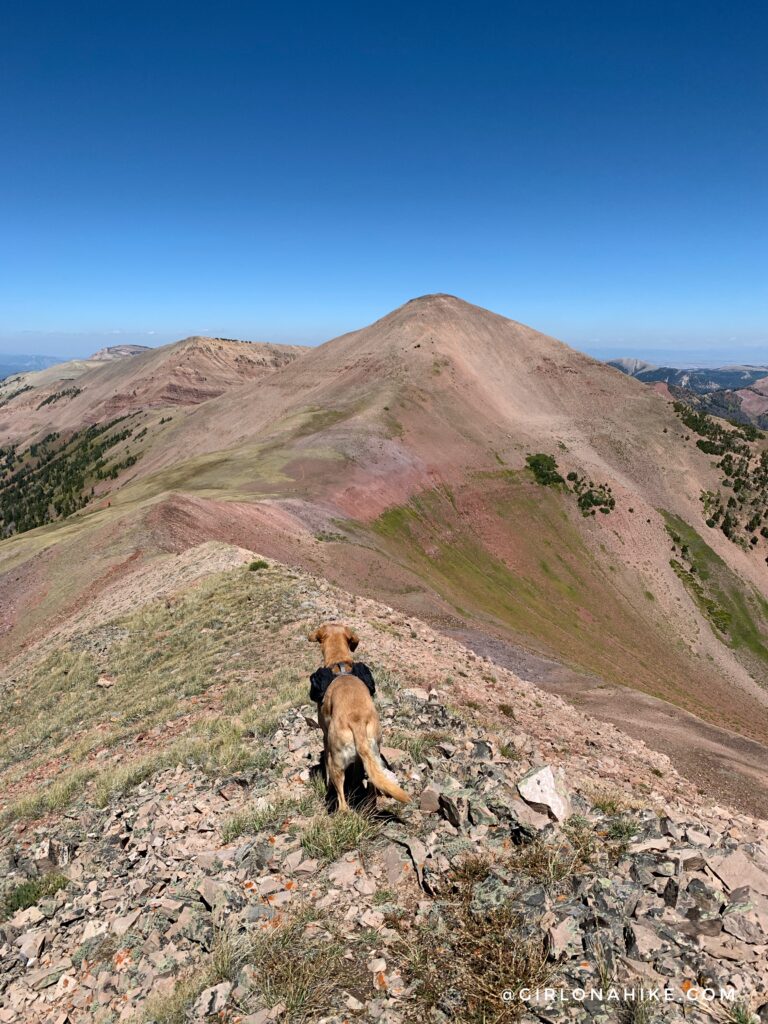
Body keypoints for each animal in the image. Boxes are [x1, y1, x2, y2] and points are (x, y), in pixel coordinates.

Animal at [309, 618, 411, 811]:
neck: (339, 663)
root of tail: (356, 723)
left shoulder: (325, 735)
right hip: (373, 756)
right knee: (370, 783)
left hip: (337, 762)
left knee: (342, 801)